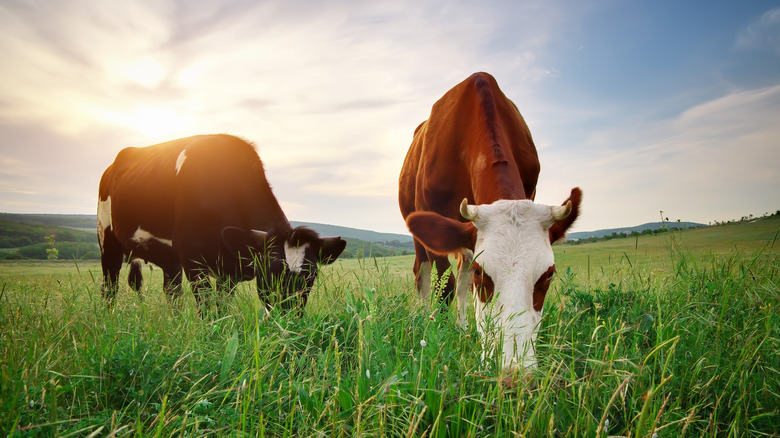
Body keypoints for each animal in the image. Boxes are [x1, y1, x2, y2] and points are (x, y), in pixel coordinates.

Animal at [96, 134, 346, 314]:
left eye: (310, 277)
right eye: (271, 273)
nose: (289, 319)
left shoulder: (229, 270)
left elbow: (222, 306)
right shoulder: (193, 258)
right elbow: (207, 307)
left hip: (169, 258)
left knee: (172, 291)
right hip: (107, 239)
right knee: (110, 285)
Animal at [400, 73, 580, 378]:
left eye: (548, 275)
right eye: (482, 273)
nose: (514, 375)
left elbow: (461, 284)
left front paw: (465, 331)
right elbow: (445, 285)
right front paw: (438, 333)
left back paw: (462, 327)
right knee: (424, 274)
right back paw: (426, 318)